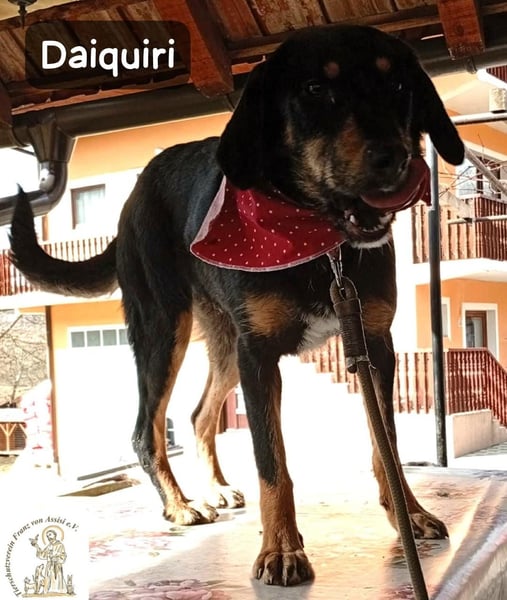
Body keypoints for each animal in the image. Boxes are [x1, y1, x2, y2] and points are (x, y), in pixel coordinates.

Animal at [10, 25, 464, 586]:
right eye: (315, 90)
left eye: (399, 85)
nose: (396, 159)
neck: (320, 244)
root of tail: (133, 197)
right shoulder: (260, 356)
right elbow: (273, 462)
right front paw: (282, 549)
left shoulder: (374, 347)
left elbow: (389, 451)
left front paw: (410, 515)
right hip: (165, 330)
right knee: (146, 429)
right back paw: (180, 504)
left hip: (226, 344)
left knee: (200, 414)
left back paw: (216, 488)